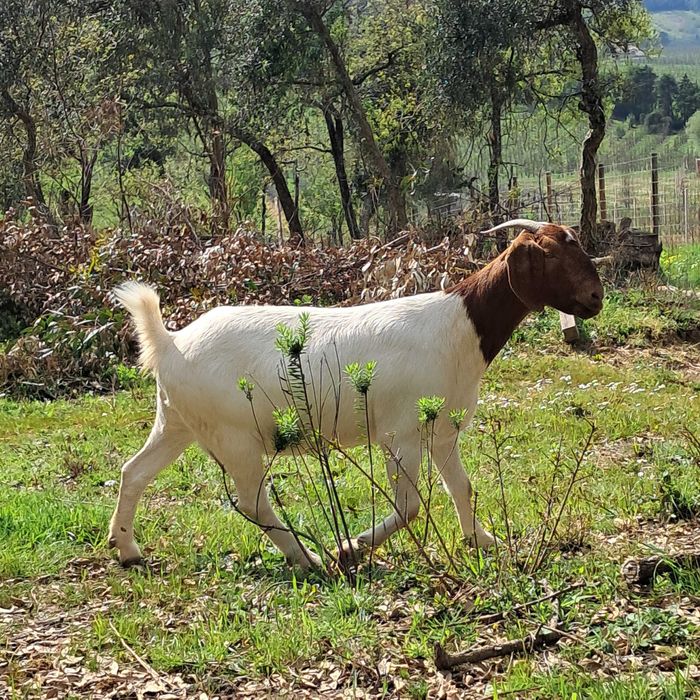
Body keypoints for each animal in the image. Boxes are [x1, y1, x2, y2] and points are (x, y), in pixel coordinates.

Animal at [109, 220, 604, 569]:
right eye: (556, 252)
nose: (597, 299)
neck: (460, 326)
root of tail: (170, 342)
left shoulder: (441, 432)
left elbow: (462, 488)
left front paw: (482, 540)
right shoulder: (400, 434)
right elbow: (410, 507)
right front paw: (351, 547)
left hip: (178, 422)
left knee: (133, 471)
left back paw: (127, 549)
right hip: (236, 438)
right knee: (252, 501)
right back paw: (308, 559)